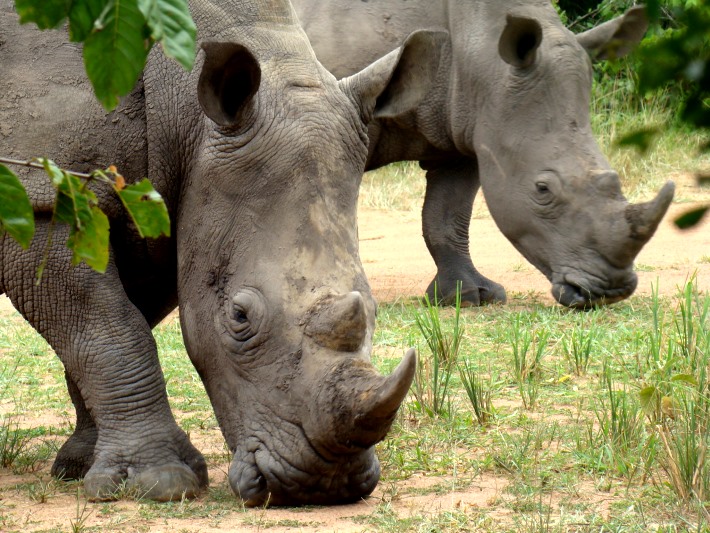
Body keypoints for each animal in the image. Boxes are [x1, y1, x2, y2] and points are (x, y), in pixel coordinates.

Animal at [0, 0, 422, 508]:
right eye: (239, 317)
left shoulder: (163, 207)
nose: (323, 485)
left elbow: (108, 330)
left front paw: (79, 466)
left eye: (375, 309)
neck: (186, 108)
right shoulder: (42, 192)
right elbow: (109, 330)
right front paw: (161, 482)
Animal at [294, 0, 680, 308]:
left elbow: (446, 217)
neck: (483, 54)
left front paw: (469, 297)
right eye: (542, 189)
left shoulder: (466, 132)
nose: (609, 292)